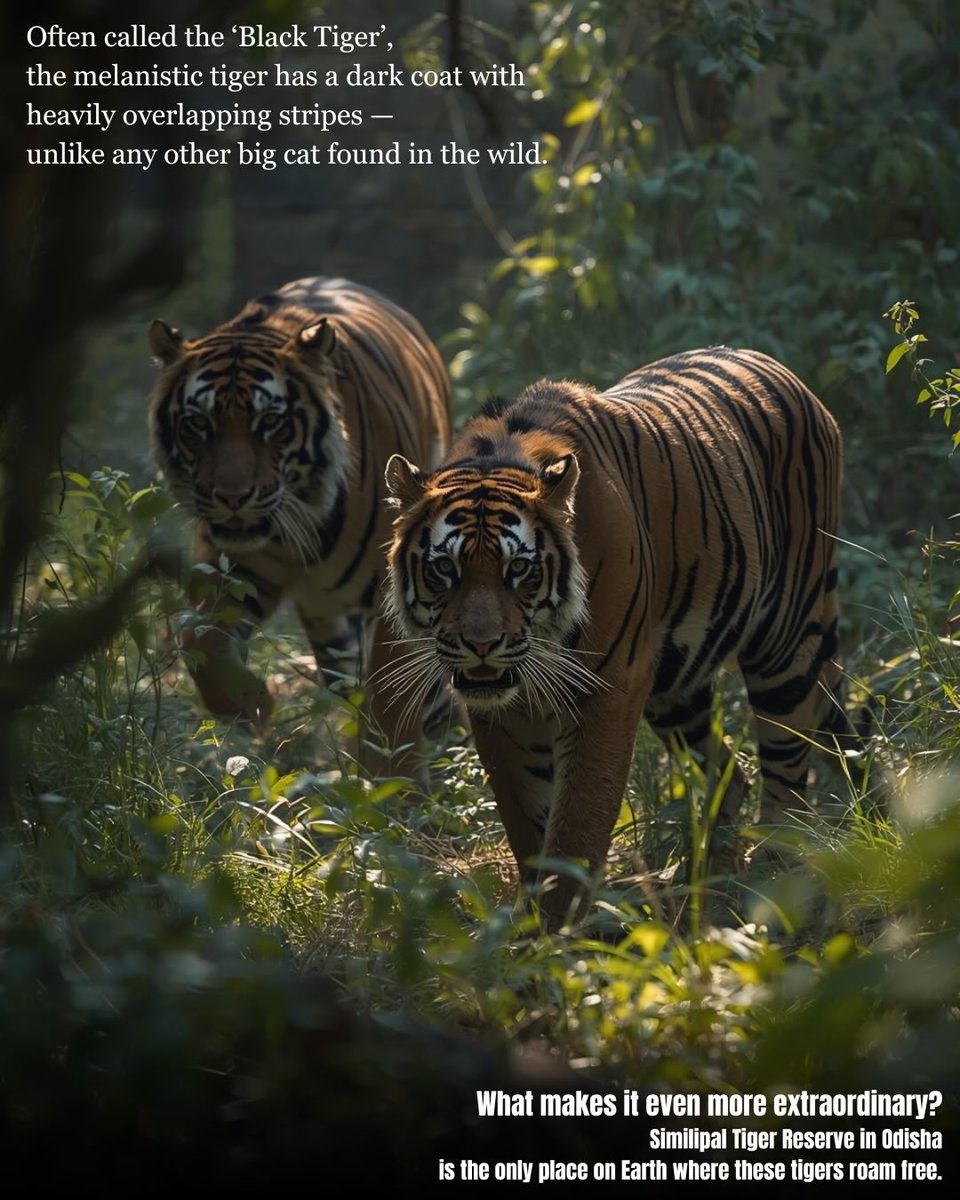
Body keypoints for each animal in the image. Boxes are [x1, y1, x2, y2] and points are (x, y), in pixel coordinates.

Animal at [149, 276, 452, 760]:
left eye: (270, 422)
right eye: (199, 424)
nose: (232, 497)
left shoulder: (396, 598)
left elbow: (393, 698)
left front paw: (394, 773)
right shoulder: (235, 569)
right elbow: (200, 640)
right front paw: (250, 704)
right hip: (329, 625)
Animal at [385, 346, 863, 926]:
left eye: (518, 569)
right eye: (444, 570)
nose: (481, 645)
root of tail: (783, 371)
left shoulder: (606, 688)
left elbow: (578, 822)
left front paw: (557, 932)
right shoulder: (500, 712)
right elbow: (528, 821)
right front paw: (534, 921)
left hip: (785, 640)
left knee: (787, 770)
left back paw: (771, 877)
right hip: (677, 689)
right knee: (732, 774)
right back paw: (709, 880)